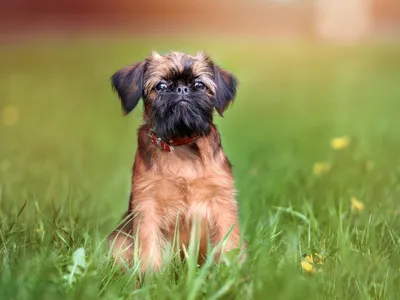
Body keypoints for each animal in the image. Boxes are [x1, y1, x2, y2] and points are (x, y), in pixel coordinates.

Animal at [108, 51, 244, 272]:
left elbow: (229, 241)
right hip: (118, 239)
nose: (182, 89)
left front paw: (230, 271)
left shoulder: (222, 202)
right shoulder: (147, 206)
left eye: (199, 85)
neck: (181, 144)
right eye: (161, 86)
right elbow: (150, 245)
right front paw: (151, 276)